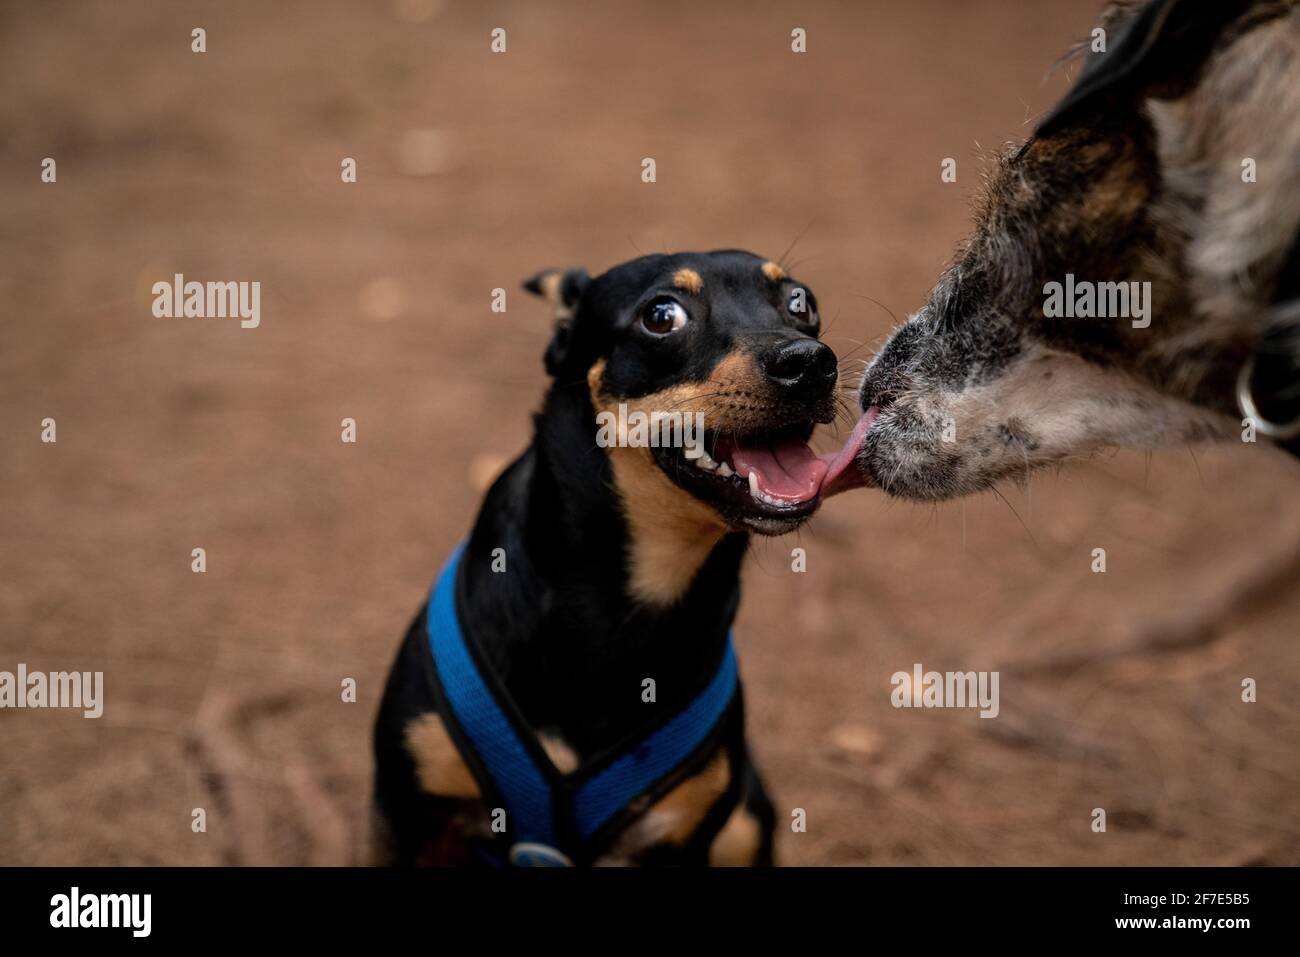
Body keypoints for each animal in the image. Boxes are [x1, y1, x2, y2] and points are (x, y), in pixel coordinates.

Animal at [374, 248, 842, 868]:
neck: (620, 604)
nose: (811, 362)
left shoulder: (681, 838)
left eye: (801, 302)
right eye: (662, 316)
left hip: (744, 822)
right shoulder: (410, 820)